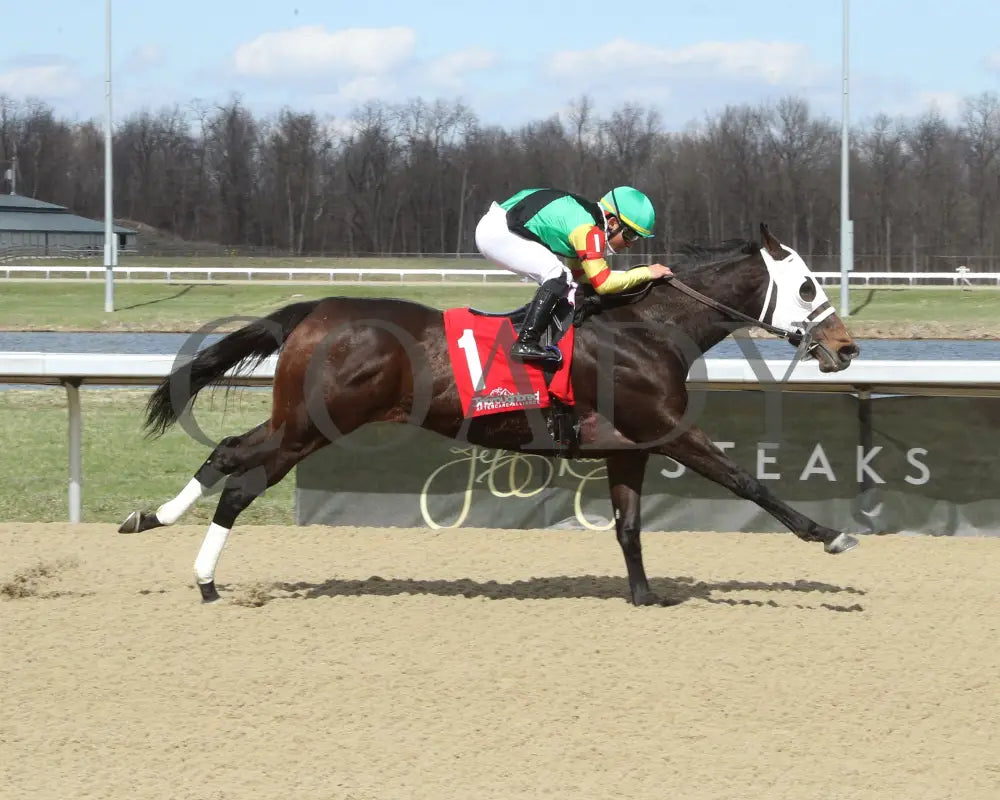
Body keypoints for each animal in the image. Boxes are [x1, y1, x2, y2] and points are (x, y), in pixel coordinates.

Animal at [119, 224, 861, 606]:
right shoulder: (668, 430)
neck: (648, 328)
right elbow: (748, 481)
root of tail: (315, 309)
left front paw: (646, 597)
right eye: (806, 286)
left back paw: (152, 523)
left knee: (228, 452)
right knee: (243, 478)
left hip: (297, 420)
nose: (847, 347)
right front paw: (828, 534)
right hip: (314, 425)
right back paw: (204, 578)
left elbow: (628, 528)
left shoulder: (627, 448)